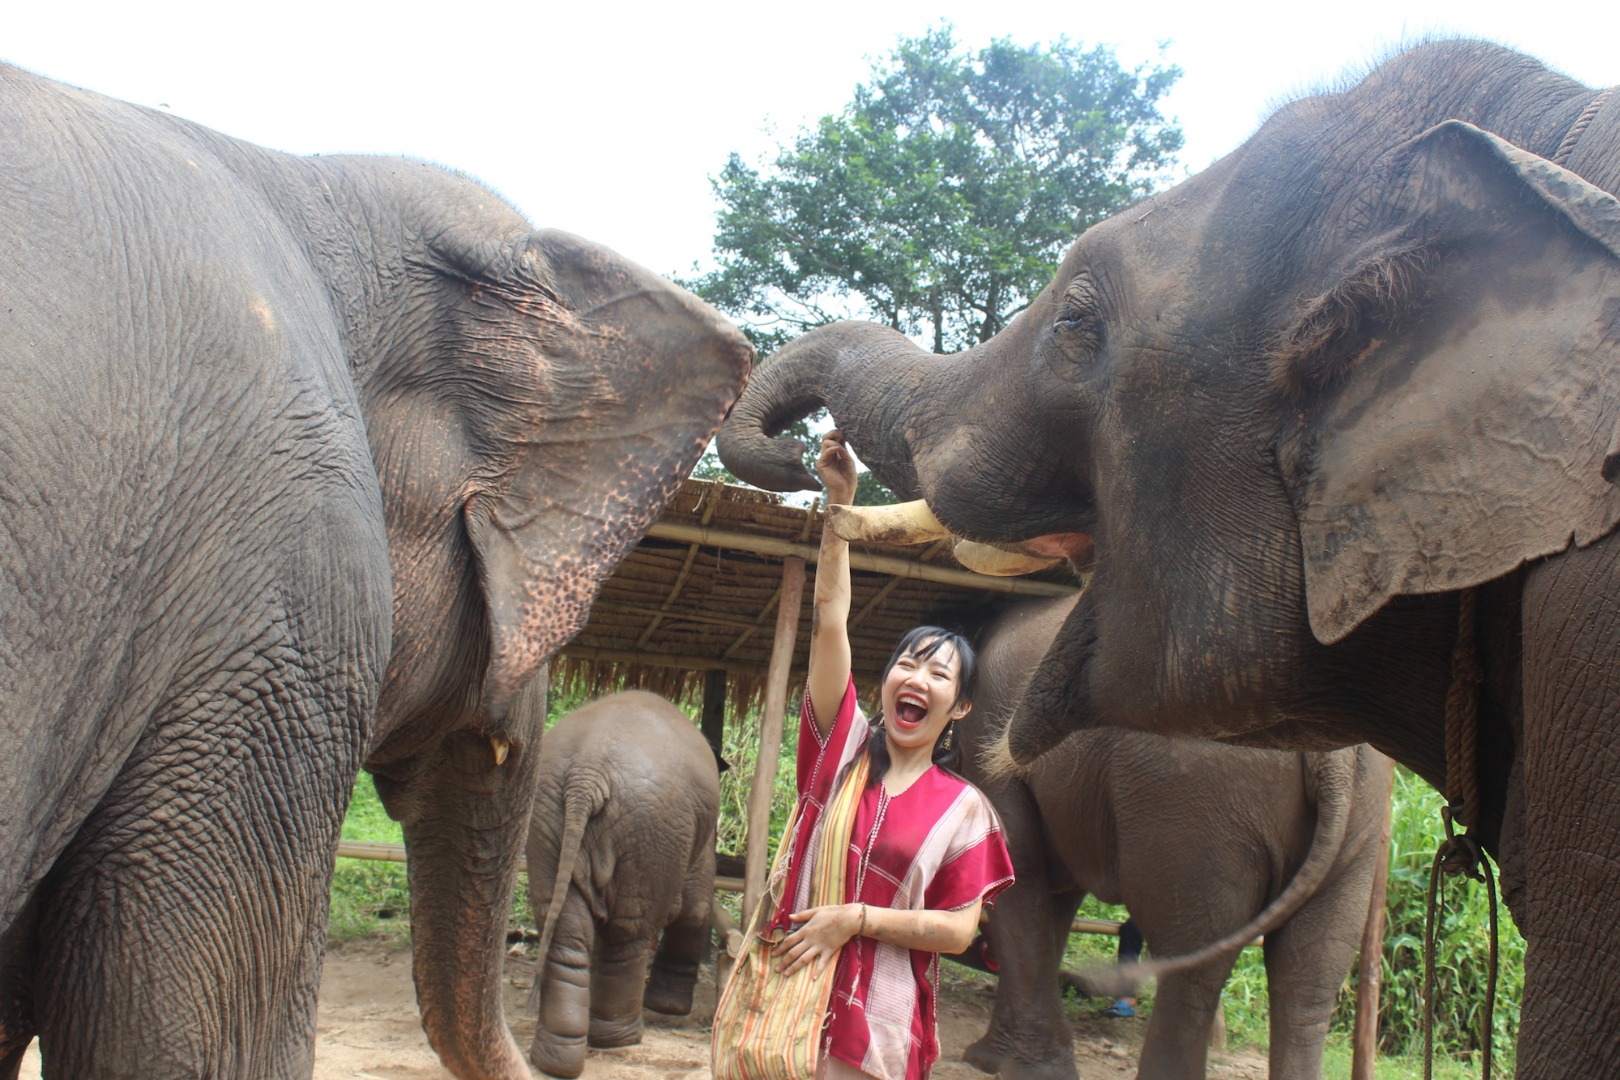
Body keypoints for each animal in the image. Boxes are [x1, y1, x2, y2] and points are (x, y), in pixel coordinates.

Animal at [524, 693, 722, 1080]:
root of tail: (587, 773)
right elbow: (696, 908)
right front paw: (668, 1008)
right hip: (653, 829)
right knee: (629, 932)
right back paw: (619, 1039)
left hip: (546, 820)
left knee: (565, 929)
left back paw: (554, 1060)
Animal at [722, 38, 1620, 1075]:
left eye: (1076, 321)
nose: (802, 456)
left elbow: (1024, 886)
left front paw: (1007, 1062)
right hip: (1358, 831)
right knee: (1305, 975)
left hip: (1193, 801)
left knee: (1198, 949)